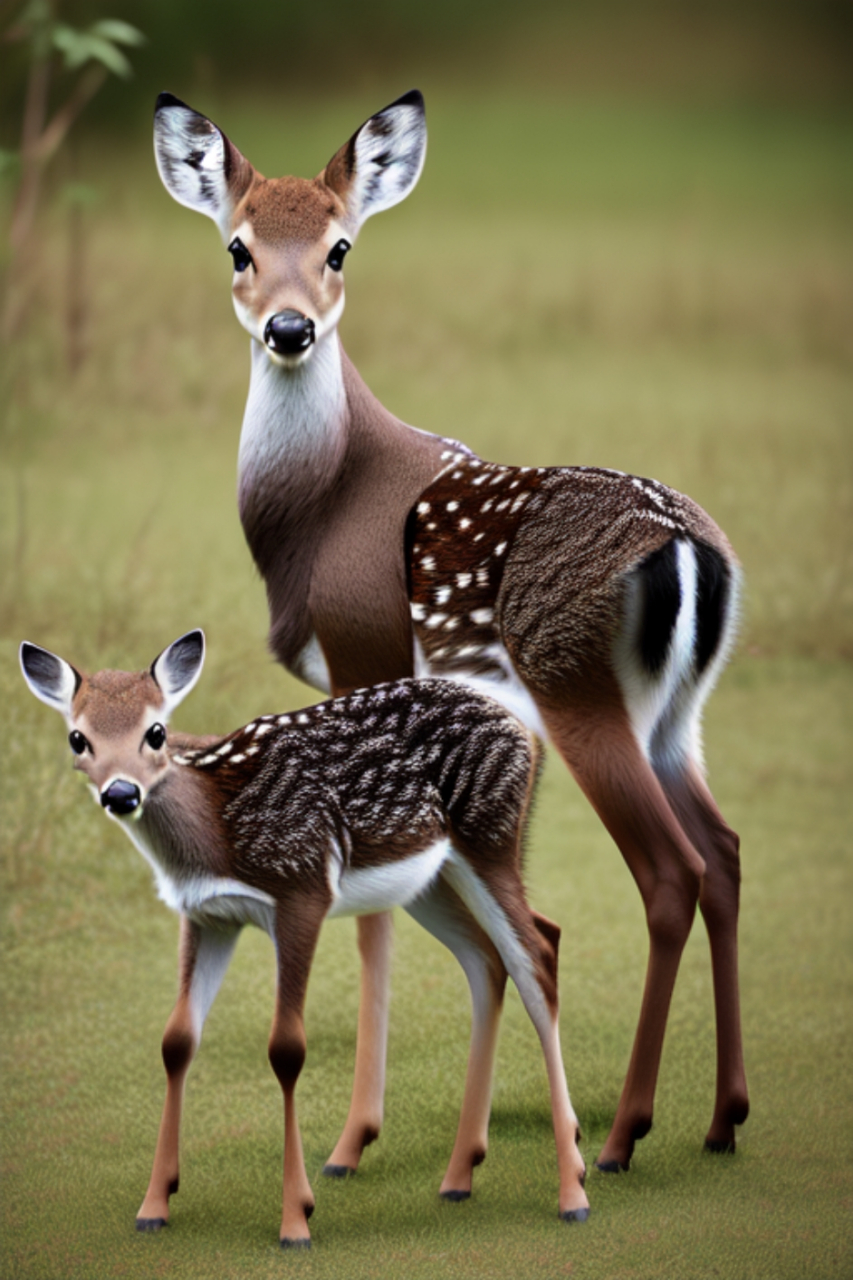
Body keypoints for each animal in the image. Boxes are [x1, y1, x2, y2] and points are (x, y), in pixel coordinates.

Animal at [19, 634, 584, 1244]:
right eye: (78, 737)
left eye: (157, 731)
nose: (121, 794)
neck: (215, 828)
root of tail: (523, 725)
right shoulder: (207, 916)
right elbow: (176, 1040)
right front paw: (154, 1205)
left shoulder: (303, 887)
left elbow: (286, 1048)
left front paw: (296, 1219)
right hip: (429, 877)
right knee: (492, 957)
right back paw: (458, 1177)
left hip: (489, 835)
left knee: (535, 955)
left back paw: (572, 1190)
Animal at [151, 90, 742, 1177]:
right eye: (238, 247)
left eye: (339, 247)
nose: (290, 327)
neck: (316, 513)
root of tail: (693, 551)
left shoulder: (365, 652)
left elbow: (374, 916)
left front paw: (354, 1138)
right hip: (679, 711)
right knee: (720, 852)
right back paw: (723, 1115)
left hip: (574, 682)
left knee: (669, 872)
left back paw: (626, 1132)